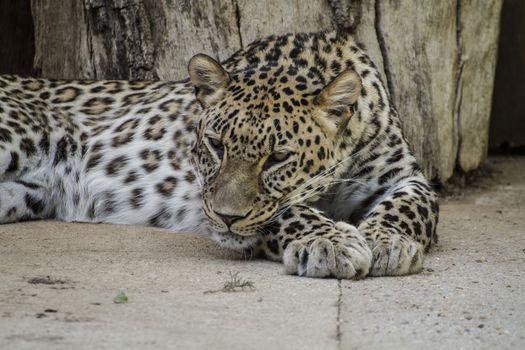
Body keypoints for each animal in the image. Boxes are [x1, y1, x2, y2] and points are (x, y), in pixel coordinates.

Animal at [0, 31, 438, 280]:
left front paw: (387, 241)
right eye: (216, 145)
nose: (227, 217)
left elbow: (412, 205)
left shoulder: (404, 176)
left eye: (278, 157)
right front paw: (329, 244)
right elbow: (286, 211)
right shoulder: (203, 189)